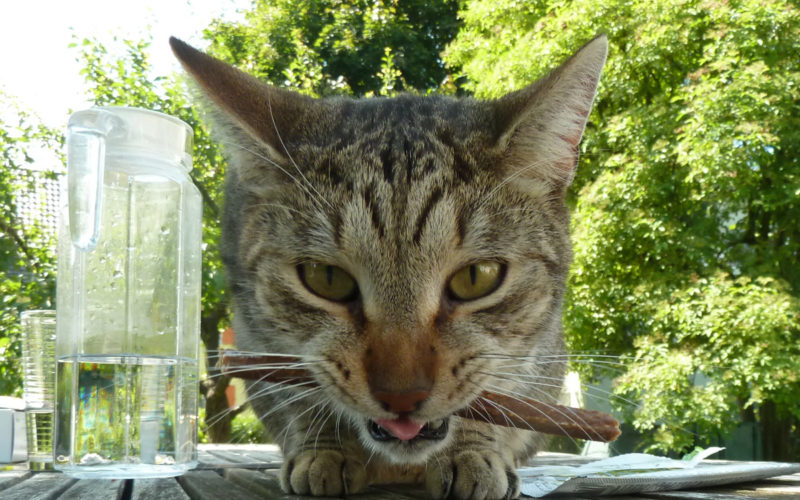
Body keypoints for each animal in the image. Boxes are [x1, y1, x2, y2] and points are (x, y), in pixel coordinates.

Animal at [170, 33, 608, 498]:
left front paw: (472, 450)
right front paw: (323, 448)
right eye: (326, 278)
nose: (402, 395)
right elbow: (302, 397)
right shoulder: (257, 340)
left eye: (477, 278)